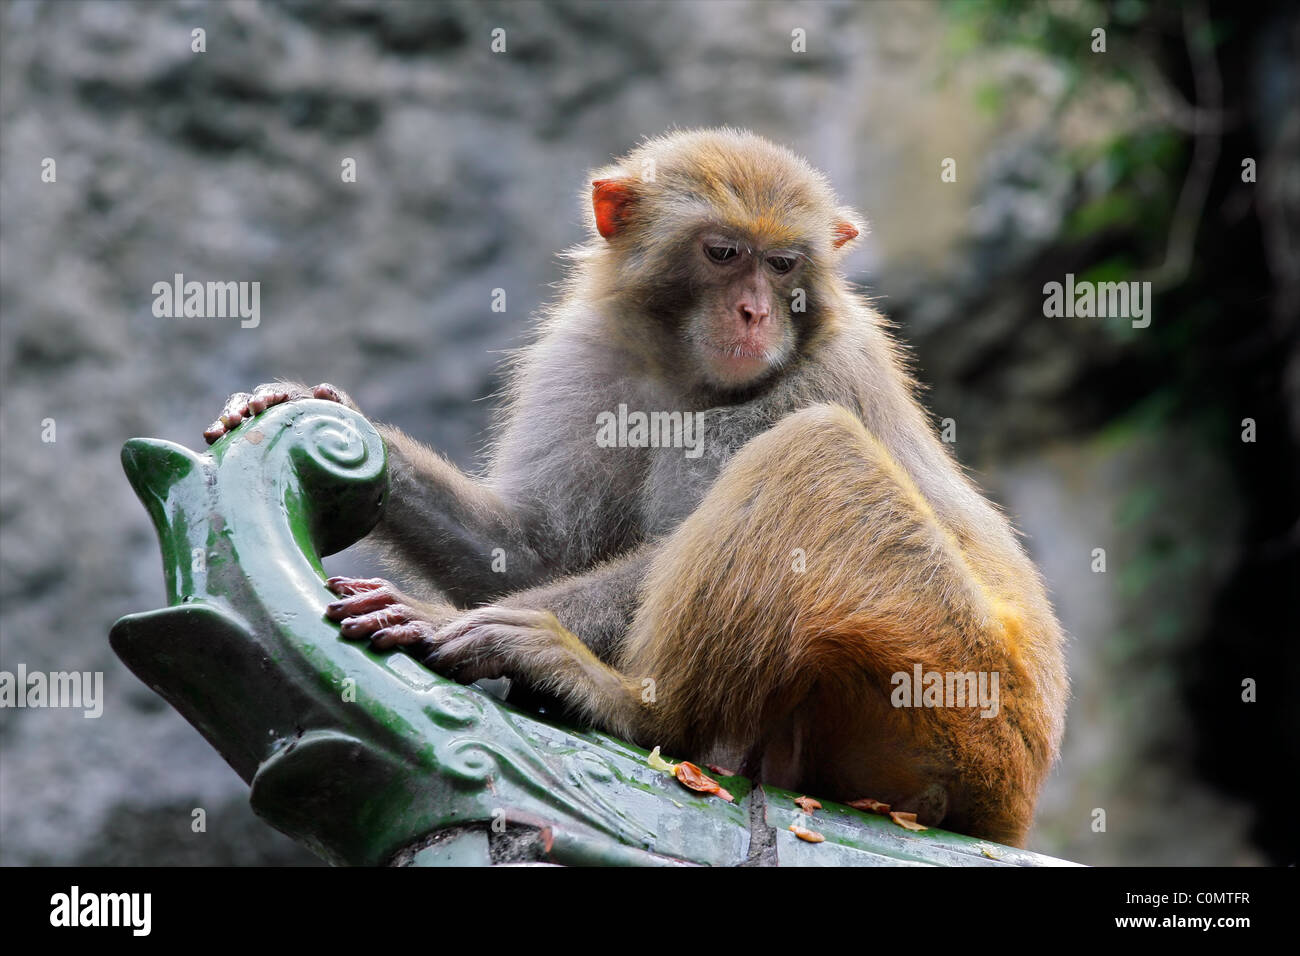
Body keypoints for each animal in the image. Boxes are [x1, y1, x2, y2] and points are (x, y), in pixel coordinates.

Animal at [208, 127, 1066, 842]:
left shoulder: (818, 373)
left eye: (783, 264)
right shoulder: (588, 354)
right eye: (723, 253)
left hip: (960, 694)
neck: (683, 371)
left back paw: (630, 707)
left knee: (811, 455)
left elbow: (656, 553)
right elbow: (533, 550)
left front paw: (435, 618)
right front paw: (326, 413)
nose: (755, 314)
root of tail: (1012, 806)